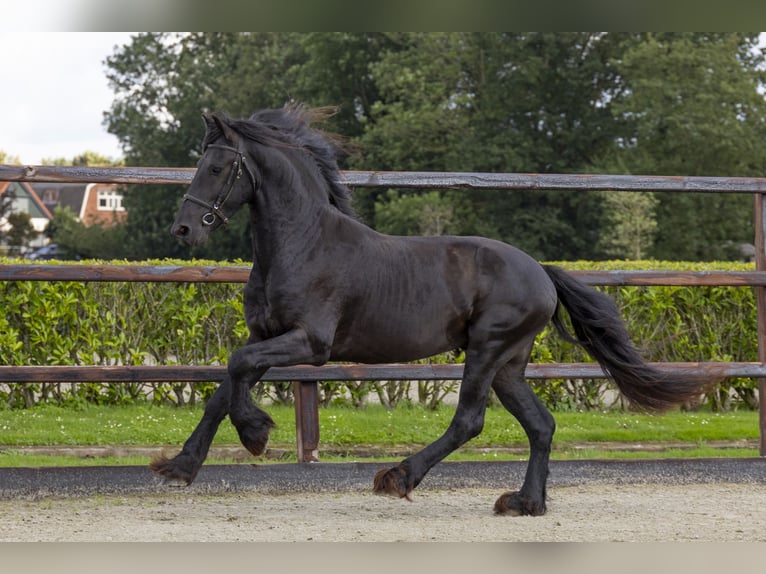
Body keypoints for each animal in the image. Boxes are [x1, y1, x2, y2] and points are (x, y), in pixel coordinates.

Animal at [153, 103, 712, 516]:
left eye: (217, 167)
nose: (184, 229)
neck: (303, 244)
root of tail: (539, 271)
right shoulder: (264, 335)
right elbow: (225, 384)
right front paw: (180, 466)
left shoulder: (310, 343)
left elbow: (236, 368)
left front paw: (255, 433)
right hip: (509, 363)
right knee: (541, 424)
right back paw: (525, 503)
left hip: (487, 349)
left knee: (469, 421)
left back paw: (399, 476)